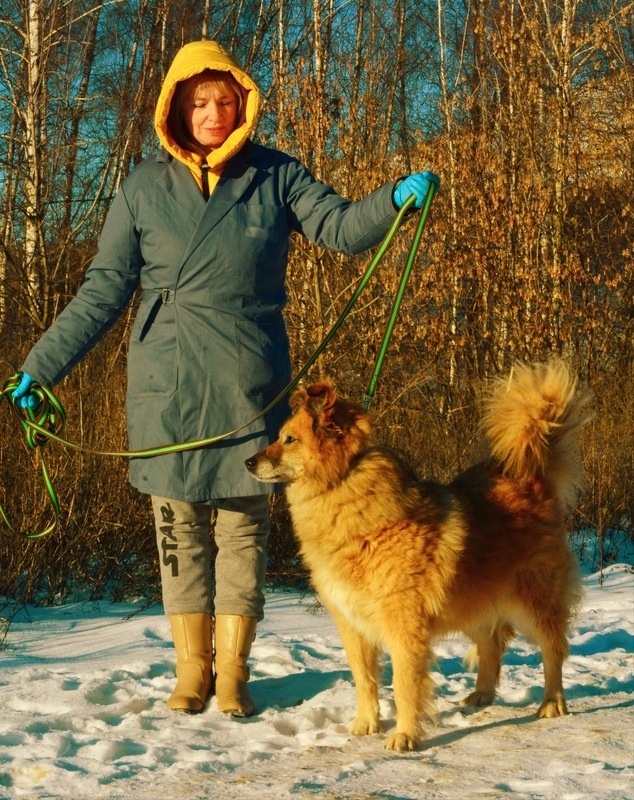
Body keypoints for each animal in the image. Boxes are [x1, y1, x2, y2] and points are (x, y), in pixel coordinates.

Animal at [244, 362, 592, 752]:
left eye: (290, 439)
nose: (248, 461)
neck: (344, 488)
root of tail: (532, 479)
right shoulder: (352, 624)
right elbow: (364, 678)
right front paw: (367, 723)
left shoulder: (403, 625)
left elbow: (405, 683)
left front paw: (405, 735)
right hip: (475, 600)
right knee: (491, 644)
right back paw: (482, 694)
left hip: (536, 600)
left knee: (553, 650)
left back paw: (552, 702)